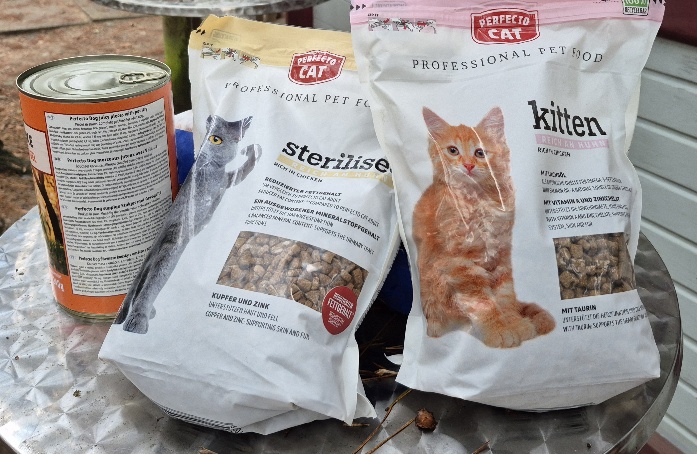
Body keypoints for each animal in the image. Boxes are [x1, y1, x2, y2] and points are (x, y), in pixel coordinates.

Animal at [113, 115, 262, 334]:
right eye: (211, 136)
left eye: (216, 139)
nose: (211, 116)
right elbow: (152, 280)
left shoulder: (224, 182)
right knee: (146, 278)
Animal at [412, 107, 554, 348]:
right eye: (453, 150)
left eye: (480, 153)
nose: (468, 165)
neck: (479, 202)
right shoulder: (460, 262)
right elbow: (482, 302)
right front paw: (499, 330)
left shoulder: (501, 252)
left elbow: (505, 296)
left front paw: (514, 324)